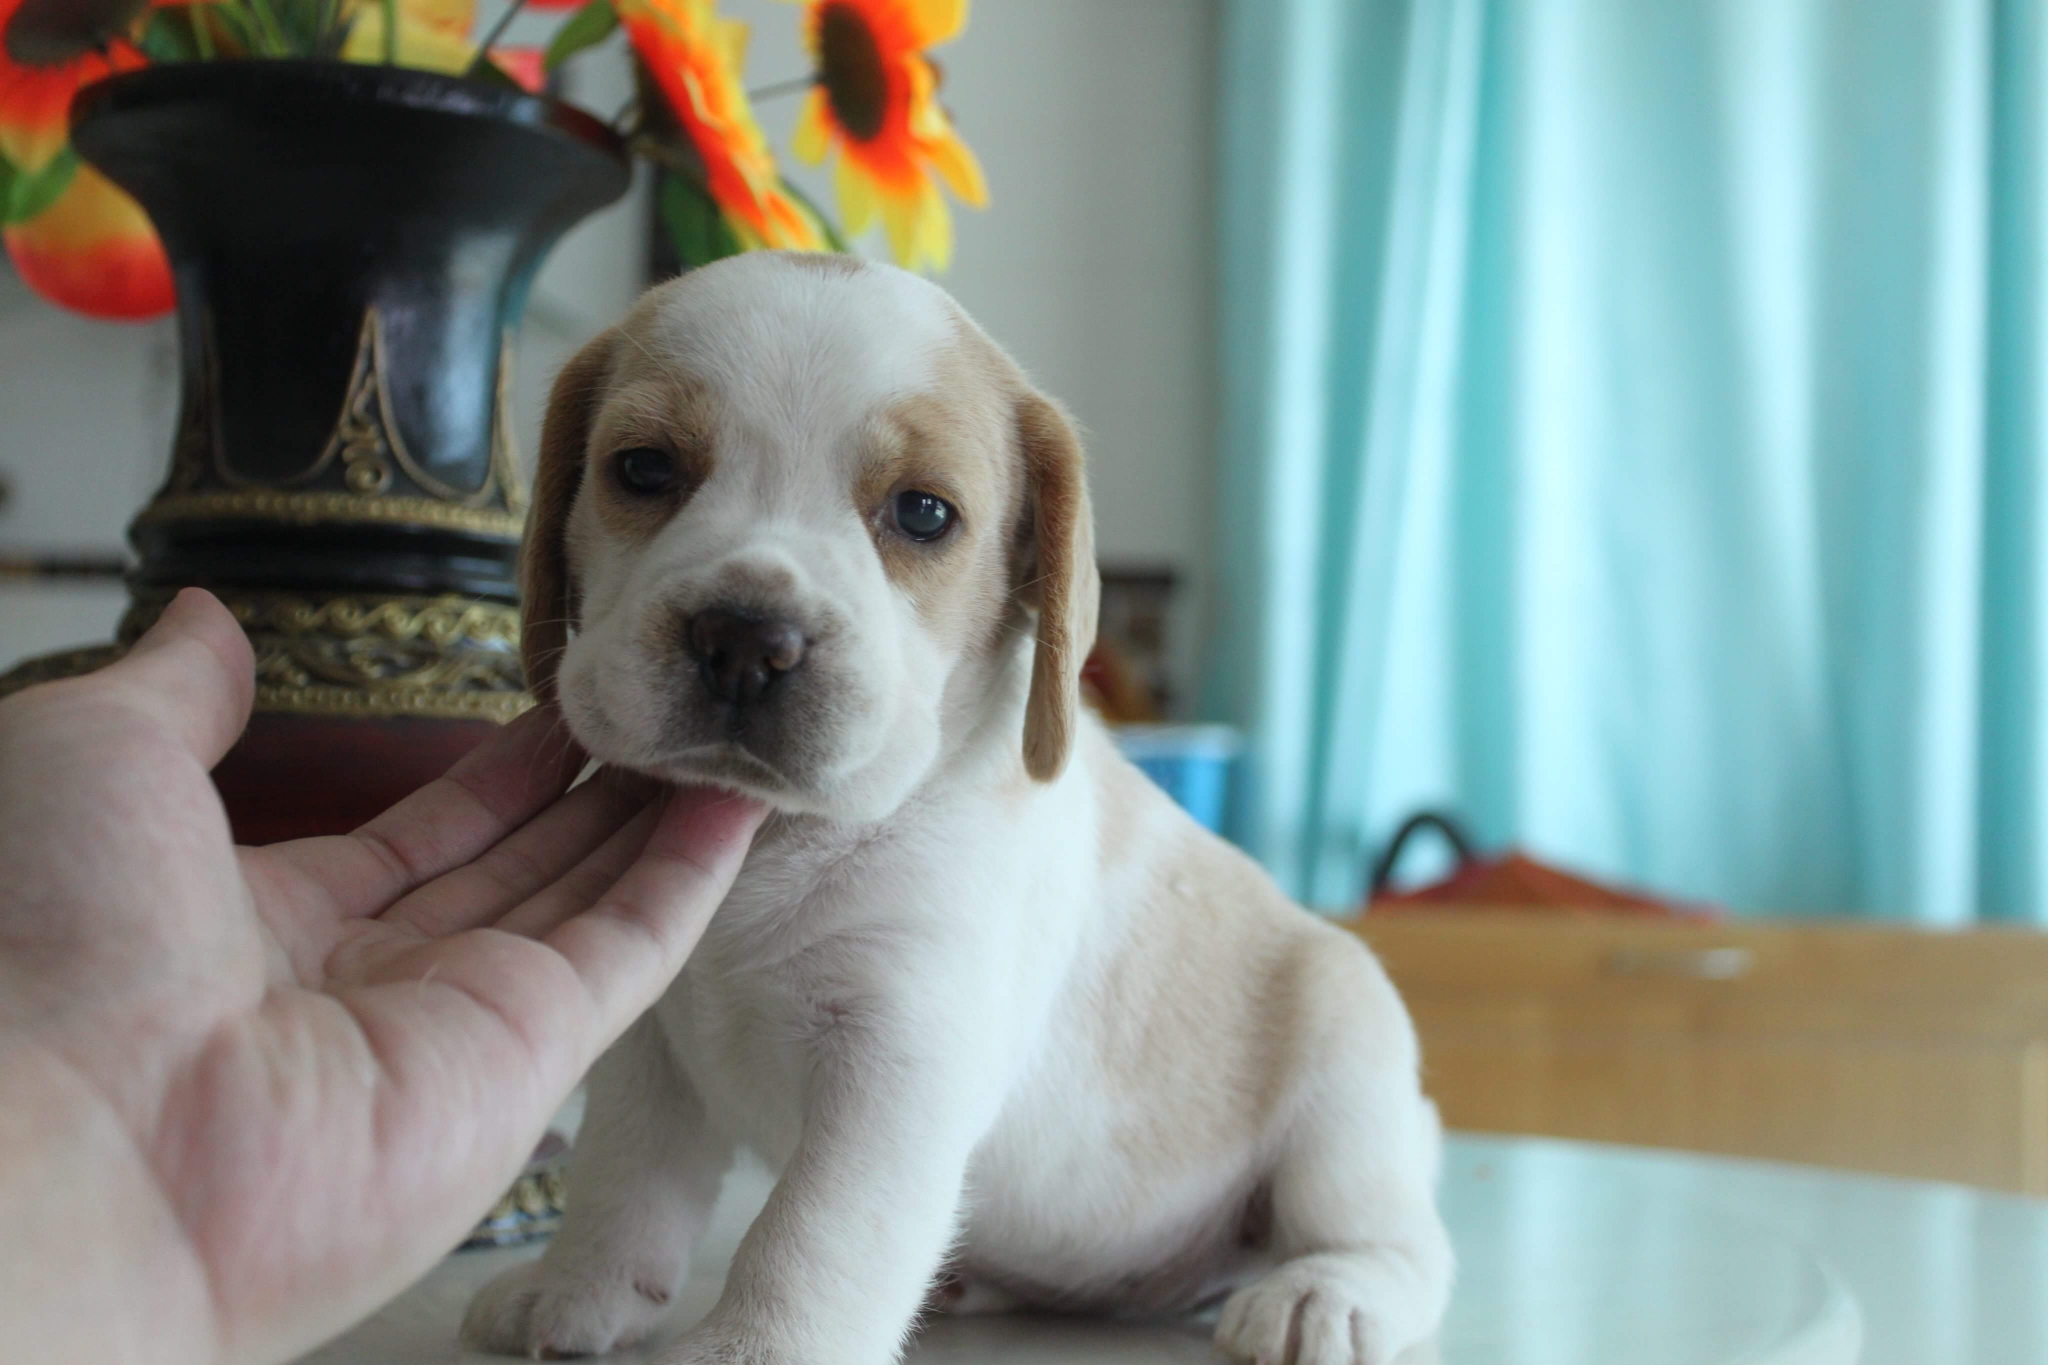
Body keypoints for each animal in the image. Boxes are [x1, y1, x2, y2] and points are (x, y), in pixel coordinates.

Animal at [461, 252, 1453, 1365]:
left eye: (924, 514)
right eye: (642, 469)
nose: (744, 639)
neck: (780, 840)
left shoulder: (899, 1062)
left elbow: (811, 1230)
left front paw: (759, 1344)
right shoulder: (649, 1048)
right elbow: (621, 1184)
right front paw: (574, 1288)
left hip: (1345, 1082)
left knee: (1399, 1245)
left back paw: (1325, 1294)